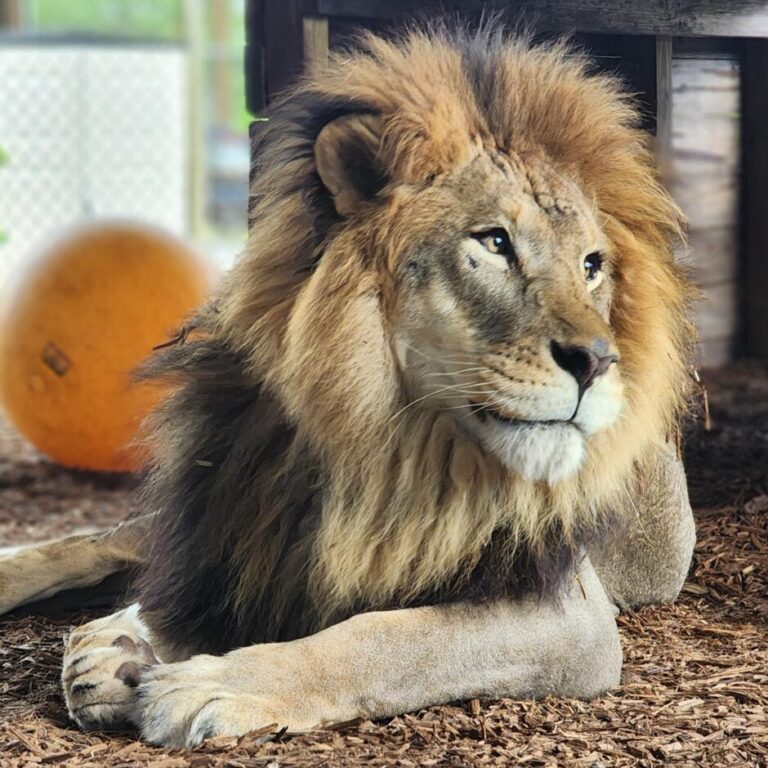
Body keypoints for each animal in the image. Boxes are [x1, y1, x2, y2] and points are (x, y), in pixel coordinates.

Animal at [0, 25, 696, 747]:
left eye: (592, 265)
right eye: (495, 242)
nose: (598, 361)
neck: (392, 438)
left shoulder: (571, 617)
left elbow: (387, 637)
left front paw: (211, 680)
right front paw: (135, 643)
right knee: (114, 538)